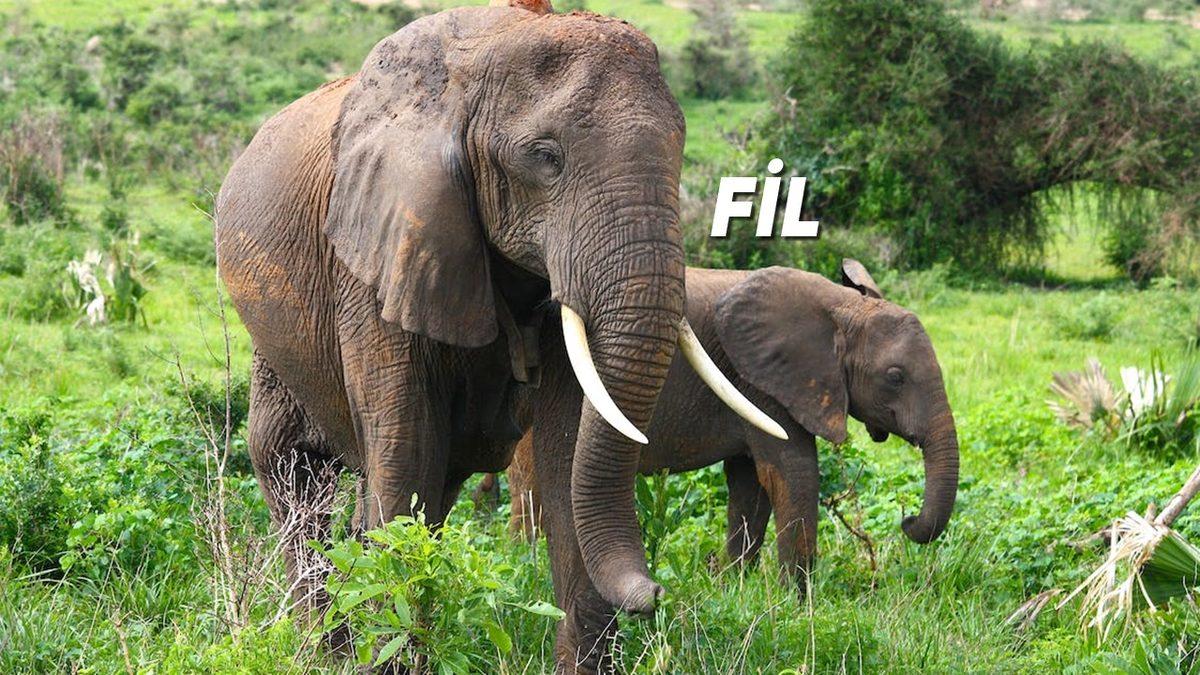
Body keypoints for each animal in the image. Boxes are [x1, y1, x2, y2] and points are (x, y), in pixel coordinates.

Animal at [214, 3, 781, 671]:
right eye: (545, 158)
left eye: (681, 149)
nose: (658, 592)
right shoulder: (376, 250)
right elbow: (406, 445)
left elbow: (567, 450)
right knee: (292, 464)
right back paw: (325, 651)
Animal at [497, 261, 960, 595]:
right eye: (895, 377)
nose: (908, 521)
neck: (842, 306)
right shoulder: (761, 382)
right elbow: (794, 473)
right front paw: (795, 601)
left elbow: (750, 483)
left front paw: (733, 586)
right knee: (531, 482)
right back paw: (524, 564)